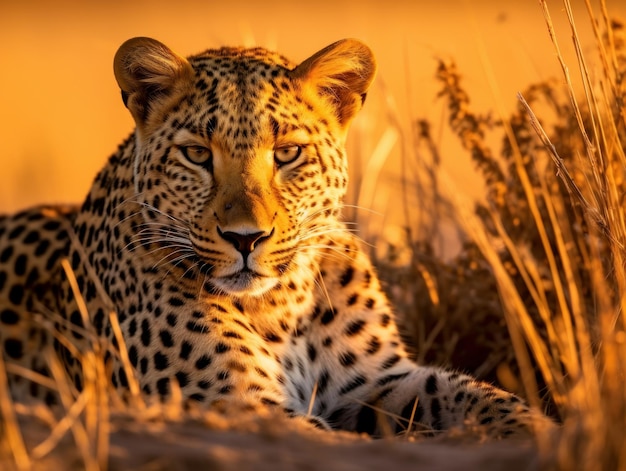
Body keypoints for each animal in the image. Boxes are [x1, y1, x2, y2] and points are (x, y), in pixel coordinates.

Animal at [0, 37, 544, 438]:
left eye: (287, 153)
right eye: (197, 154)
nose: (246, 238)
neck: (284, 307)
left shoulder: (379, 380)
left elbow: (471, 395)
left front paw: (543, 432)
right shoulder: (237, 405)